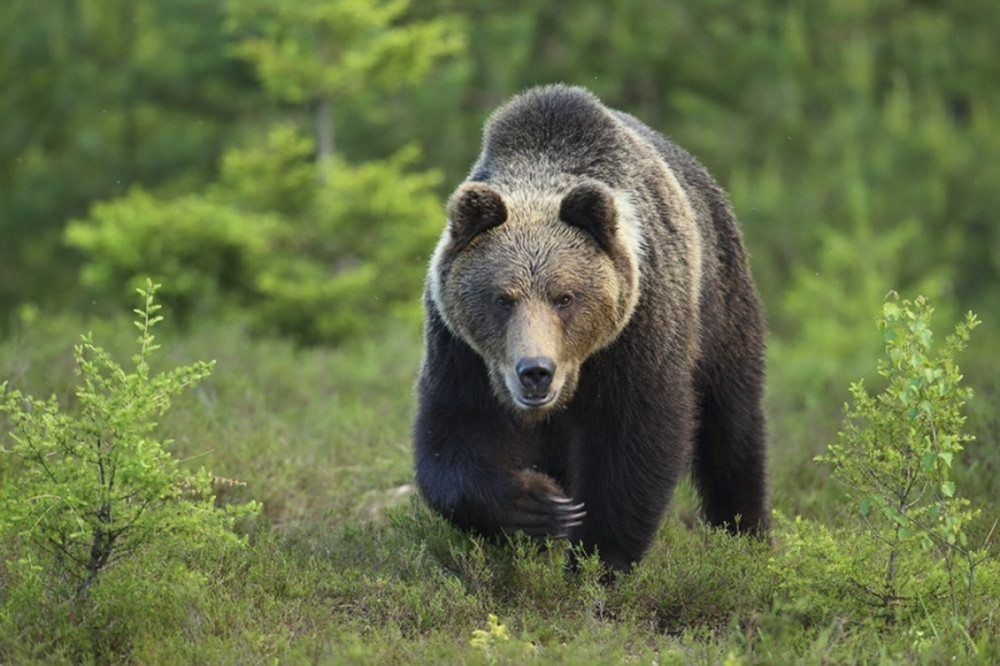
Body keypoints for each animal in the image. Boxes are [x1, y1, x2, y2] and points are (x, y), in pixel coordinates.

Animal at [410, 83, 768, 572]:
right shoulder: (462, 351)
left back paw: (746, 537)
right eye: (503, 299)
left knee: (731, 428)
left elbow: (633, 445)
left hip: (720, 306)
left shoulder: (637, 334)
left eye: (565, 297)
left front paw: (597, 560)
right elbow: (455, 439)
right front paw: (539, 505)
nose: (535, 371)